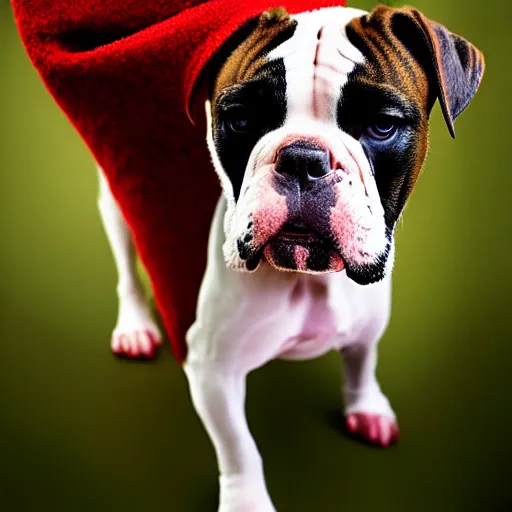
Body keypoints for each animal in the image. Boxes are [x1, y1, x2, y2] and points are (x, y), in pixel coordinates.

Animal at [97, 5, 484, 512]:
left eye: (382, 125)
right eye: (241, 120)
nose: (303, 157)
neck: (308, 278)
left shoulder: (368, 321)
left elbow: (362, 362)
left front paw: (367, 406)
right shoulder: (212, 367)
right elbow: (239, 446)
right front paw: (246, 501)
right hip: (118, 202)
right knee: (126, 266)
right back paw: (135, 326)